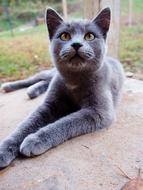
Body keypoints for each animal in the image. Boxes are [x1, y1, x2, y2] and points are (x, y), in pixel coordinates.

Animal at [0, 7, 124, 168]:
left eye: (90, 36)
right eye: (65, 36)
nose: (76, 44)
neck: (74, 80)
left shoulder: (99, 111)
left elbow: (64, 123)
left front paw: (34, 140)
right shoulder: (49, 105)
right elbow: (26, 124)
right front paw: (4, 149)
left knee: (43, 82)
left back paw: (32, 91)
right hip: (51, 73)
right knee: (36, 78)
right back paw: (9, 86)